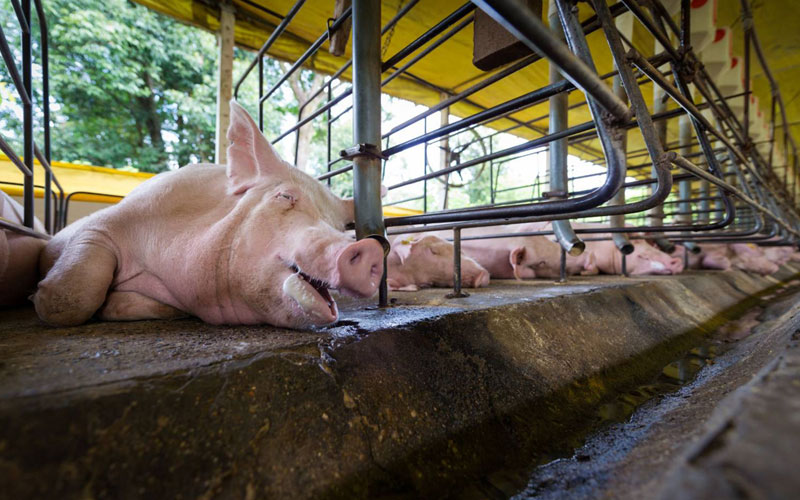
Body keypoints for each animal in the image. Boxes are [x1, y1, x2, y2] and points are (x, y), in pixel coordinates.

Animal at [33, 101, 384, 328]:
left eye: (340, 225)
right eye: (285, 196)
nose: (369, 248)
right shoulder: (106, 223)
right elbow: (71, 299)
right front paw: (36, 297)